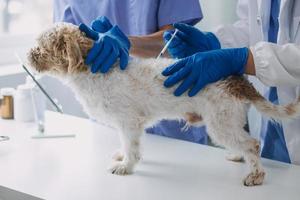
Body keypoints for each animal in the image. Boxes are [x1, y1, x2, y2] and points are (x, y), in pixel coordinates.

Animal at [27, 23, 300, 186]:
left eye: (42, 47)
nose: (29, 55)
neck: (95, 71)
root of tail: (236, 79)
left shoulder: (129, 123)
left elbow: (132, 148)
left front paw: (126, 166)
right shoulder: (127, 125)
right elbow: (126, 145)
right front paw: (122, 156)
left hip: (219, 123)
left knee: (253, 144)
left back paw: (256, 175)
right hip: (228, 120)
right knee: (243, 141)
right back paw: (236, 154)